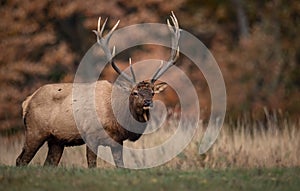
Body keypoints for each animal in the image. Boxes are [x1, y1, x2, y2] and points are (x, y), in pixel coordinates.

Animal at [15, 12, 180, 167]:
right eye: (134, 93)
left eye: (152, 93)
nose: (147, 102)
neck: (116, 118)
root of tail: (26, 102)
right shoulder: (90, 136)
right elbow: (92, 165)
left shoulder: (117, 142)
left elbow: (121, 166)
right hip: (35, 131)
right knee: (20, 160)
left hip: (56, 141)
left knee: (49, 163)